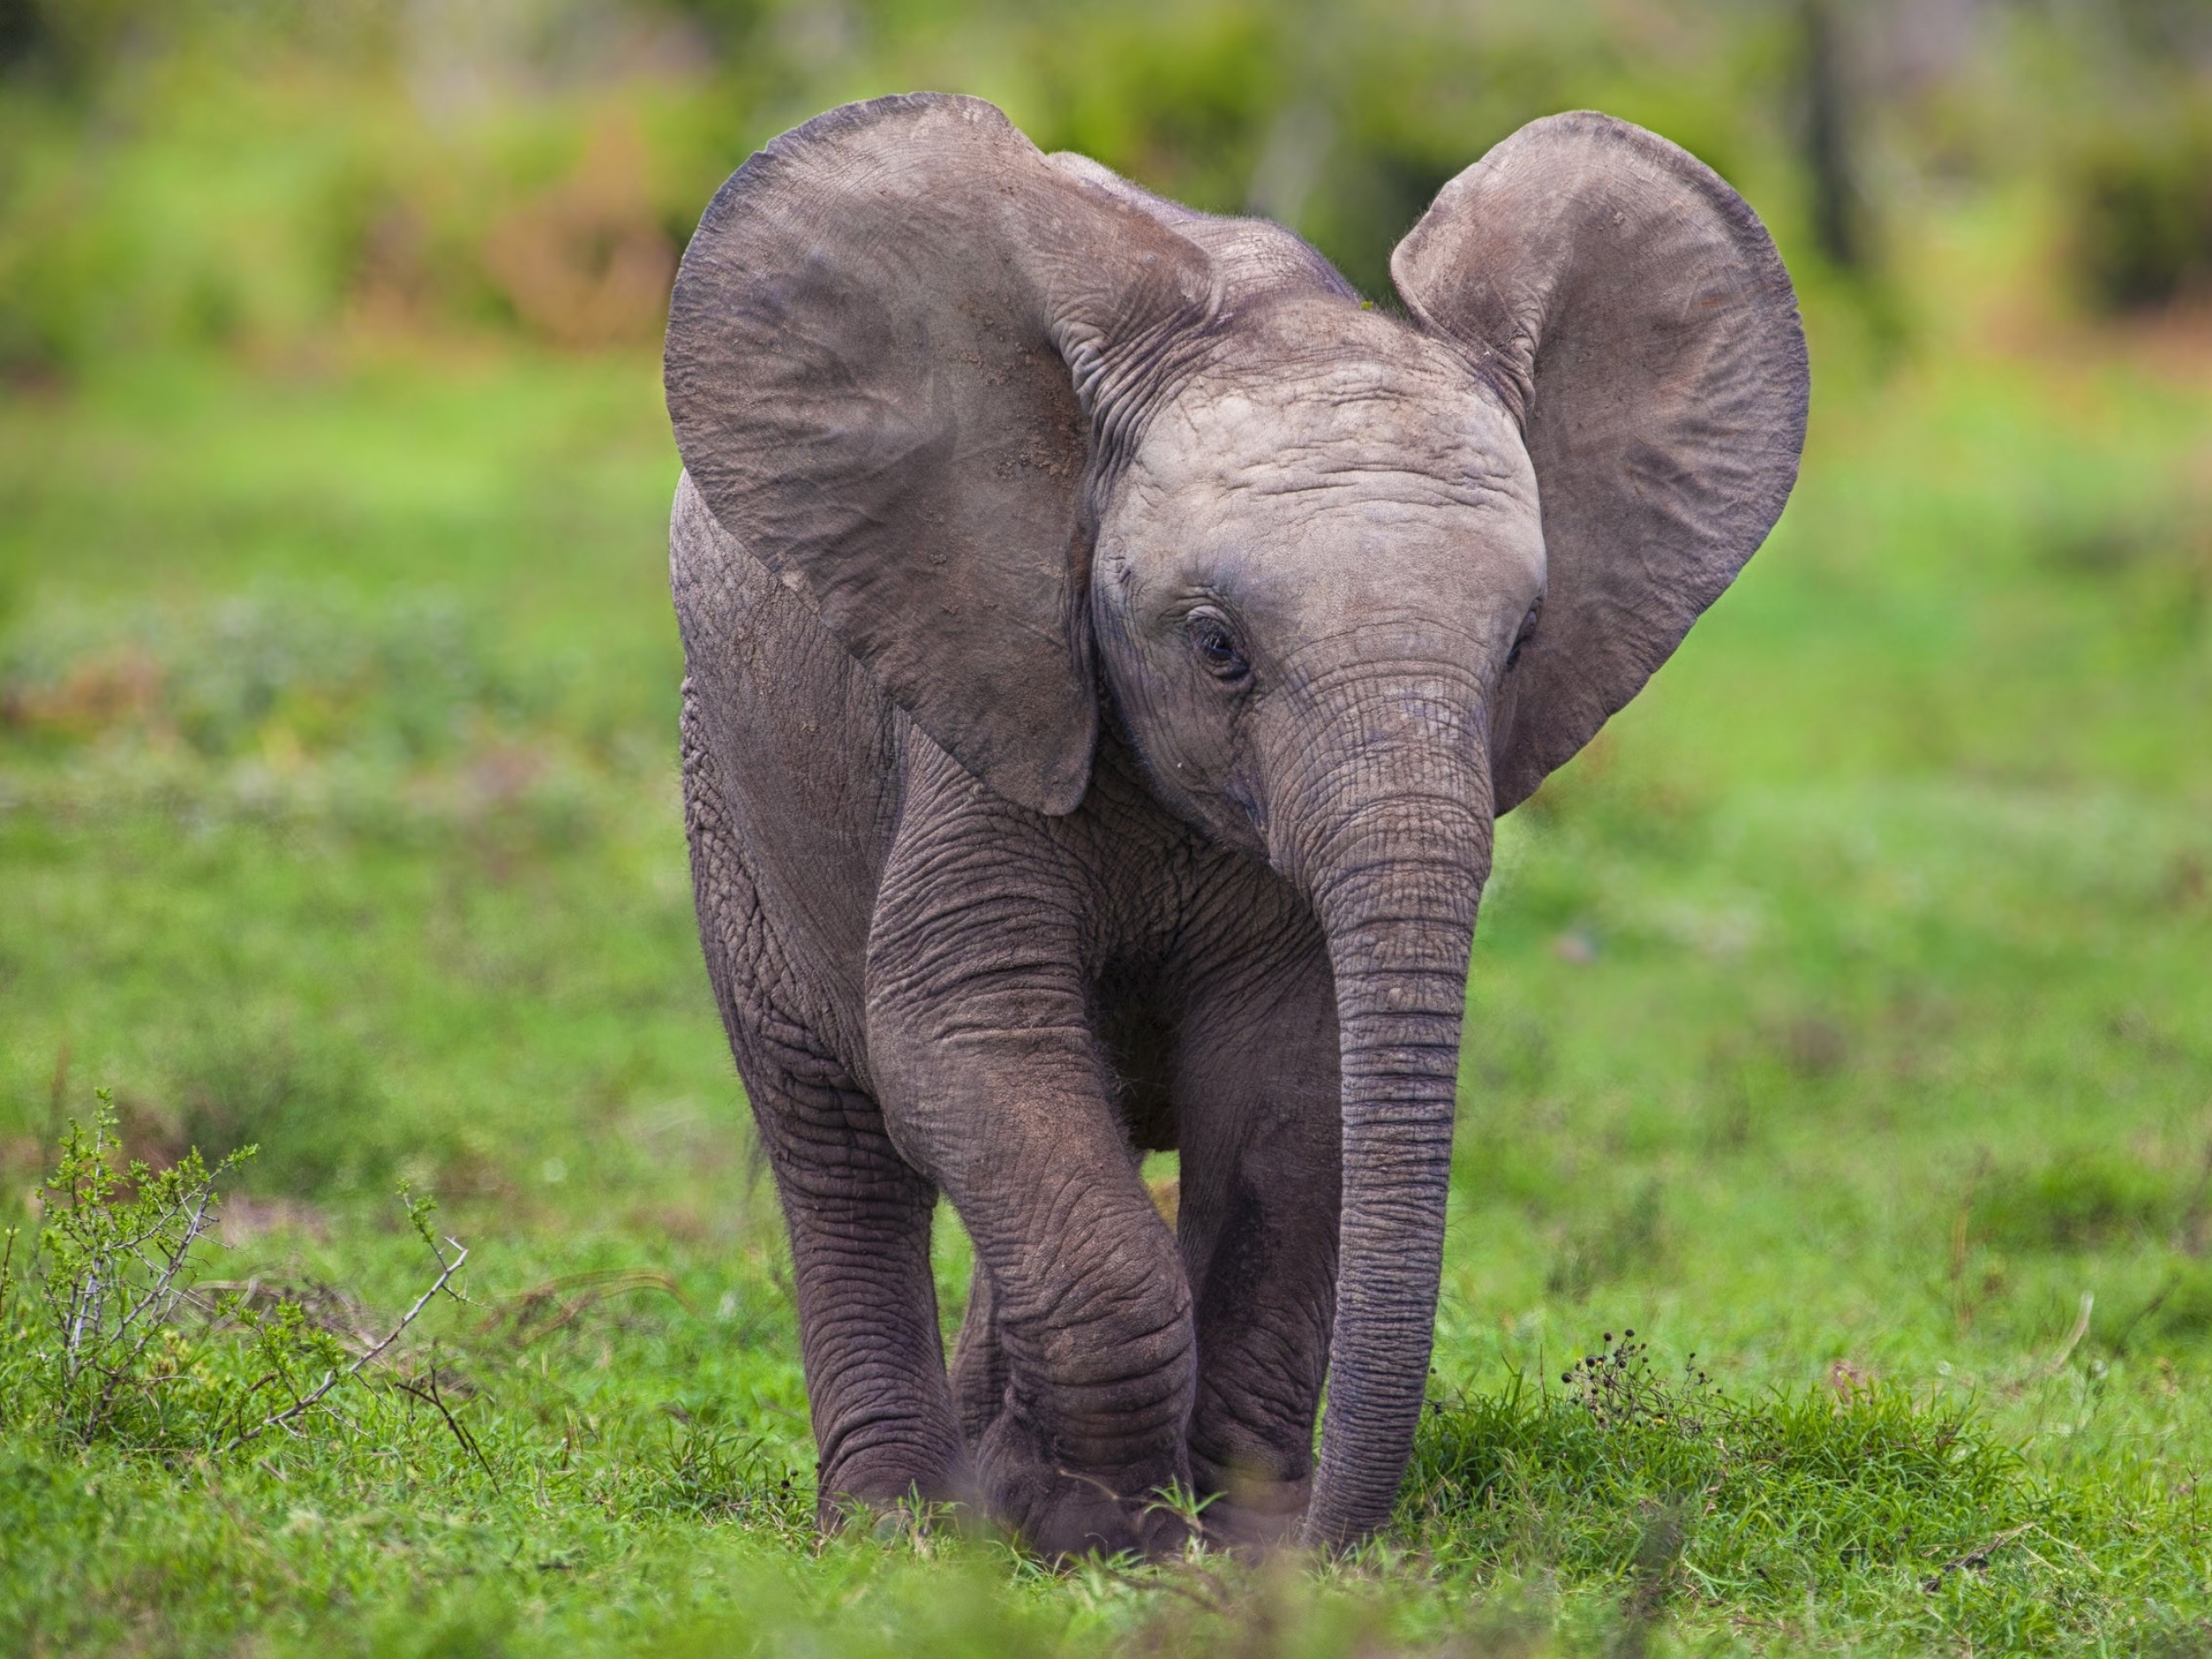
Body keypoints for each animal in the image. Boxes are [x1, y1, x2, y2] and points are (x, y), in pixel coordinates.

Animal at [654, 93, 1796, 1557]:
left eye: (1521, 645)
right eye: (1216, 647)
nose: (1315, 1538)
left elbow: (1289, 1089)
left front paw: (1208, 1526)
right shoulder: (987, 699)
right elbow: (966, 1031)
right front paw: (1086, 1524)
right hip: (730, 776)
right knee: (837, 1141)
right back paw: (892, 1520)